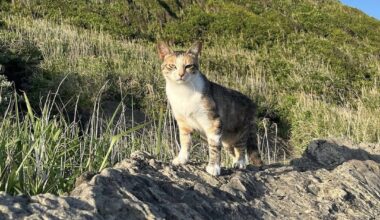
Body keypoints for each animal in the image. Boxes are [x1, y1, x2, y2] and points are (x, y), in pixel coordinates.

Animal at [157, 40, 262, 175]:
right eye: (172, 66)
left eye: (188, 66)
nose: (181, 74)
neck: (183, 92)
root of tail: (252, 103)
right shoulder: (183, 123)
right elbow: (185, 142)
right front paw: (181, 159)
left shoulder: (213, 122)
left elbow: (214, 147)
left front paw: (213, 167)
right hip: (227, 139)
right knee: (232, 149)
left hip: (241, 129)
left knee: (241, 146)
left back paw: (240, 163)